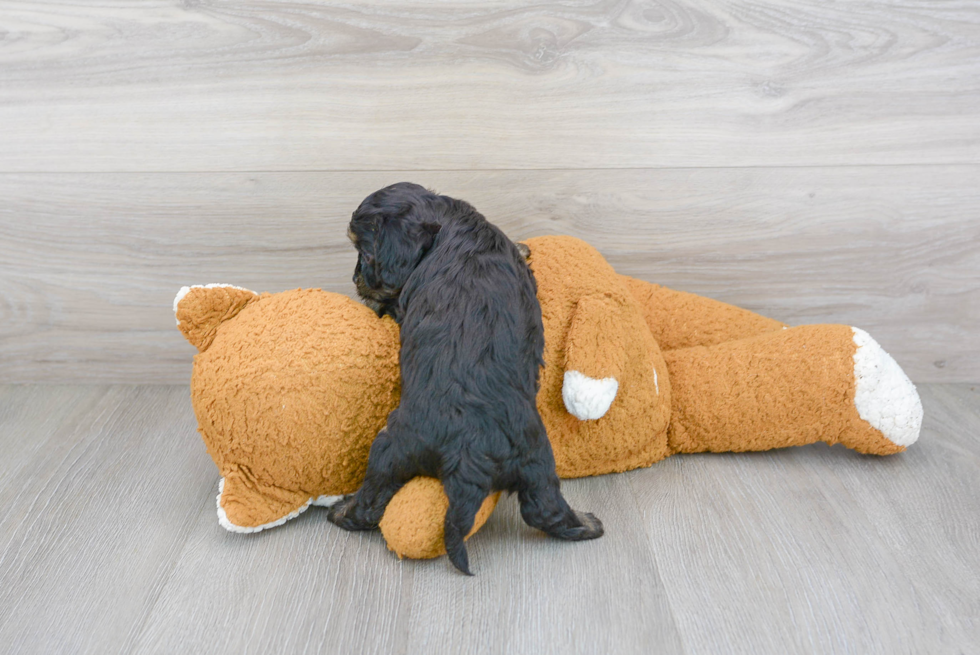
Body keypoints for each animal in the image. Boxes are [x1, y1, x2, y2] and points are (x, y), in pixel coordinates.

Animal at [332, 183, 604, 576]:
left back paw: (343, 512)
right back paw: (586, 524)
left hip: (391, 447)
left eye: (365, 254)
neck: (451, 224)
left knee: (372, 497)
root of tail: (468, 453)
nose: (355, 279)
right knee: (544, 508)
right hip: (535, 458)